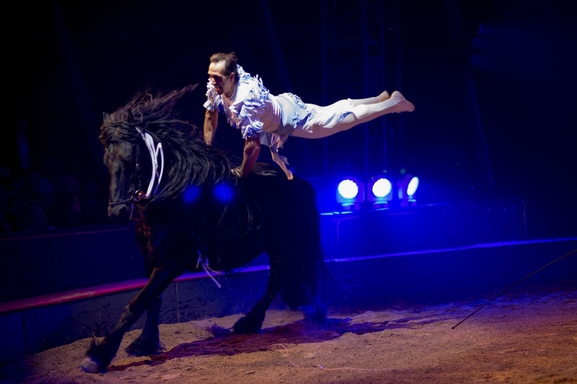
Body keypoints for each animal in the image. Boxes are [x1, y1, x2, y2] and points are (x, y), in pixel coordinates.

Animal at [80, 85, 328, 374]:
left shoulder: (171, 264)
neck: (168, 201)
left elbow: (135, 305)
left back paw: (253, 322)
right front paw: (146, 343)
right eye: (106, 162)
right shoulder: (150, 260)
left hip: (284, 245)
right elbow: (151, 302)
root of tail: (299, 182)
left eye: (131, 160)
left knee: (277, 280)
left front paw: (100, 355)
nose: (116, 212)